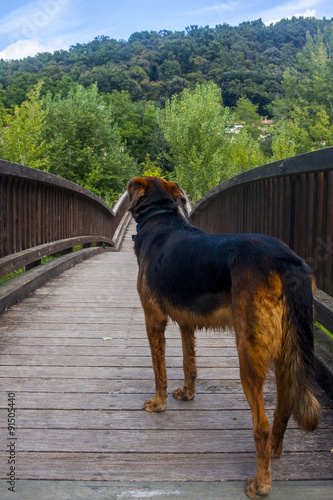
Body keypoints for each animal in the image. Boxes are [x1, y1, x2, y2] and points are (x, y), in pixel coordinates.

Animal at [126, 177, 320, 500]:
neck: (160, 216)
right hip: (285, 349)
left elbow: (159, 370)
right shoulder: (186, 323)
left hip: (248, 353)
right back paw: (274, 451)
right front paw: (188, 394)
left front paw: (159, 403)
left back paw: (261, 483)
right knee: (283, 408)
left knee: (261, 425)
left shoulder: (154, 320)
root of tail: (288, 260)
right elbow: (189, 364)